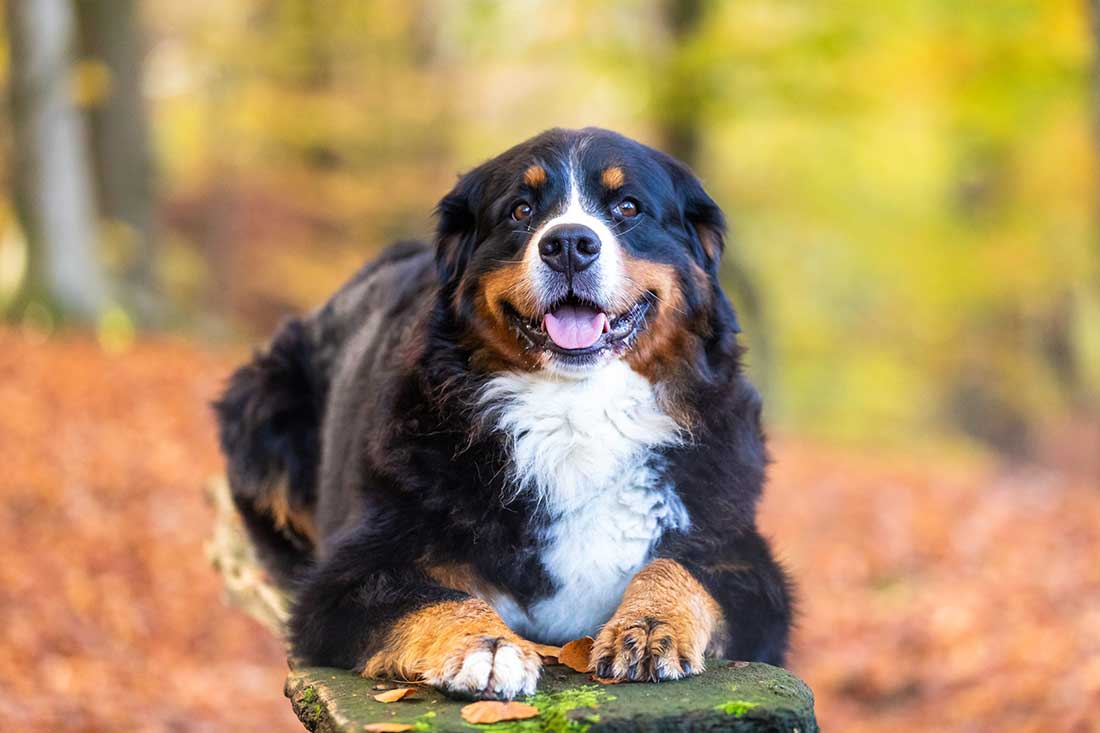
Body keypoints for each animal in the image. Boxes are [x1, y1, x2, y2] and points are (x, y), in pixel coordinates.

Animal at [214, 125, 792, 695]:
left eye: (628, 207)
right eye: (520, 209)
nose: (569, 244)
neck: (576, 412)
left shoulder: (745, 561)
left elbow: (682, 570)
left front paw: (649, 625)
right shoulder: (349, 577)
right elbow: (433, 597)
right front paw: (487, 646)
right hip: (264, 406)